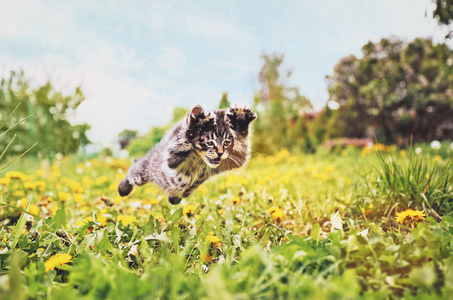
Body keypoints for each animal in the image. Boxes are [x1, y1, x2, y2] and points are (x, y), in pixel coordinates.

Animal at [118, 104, 256, 205]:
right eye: (209, 143)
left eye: (226, 142)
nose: (220, 153)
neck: (199, 158)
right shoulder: (170, 157)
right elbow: (185, 139)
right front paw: (197, 124)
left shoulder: (236, 158)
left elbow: (242, 147)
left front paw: (241, 120)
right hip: (143, 171)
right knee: (135, 167)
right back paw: (122, 188)